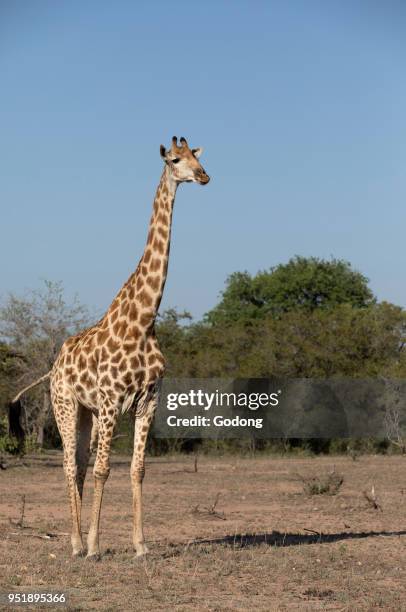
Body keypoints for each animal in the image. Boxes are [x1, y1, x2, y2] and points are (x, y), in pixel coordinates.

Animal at [12, 135, 209, 560]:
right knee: (70, 464)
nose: (203, 176)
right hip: (66, 405)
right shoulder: (111, 401)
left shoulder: (147, 401)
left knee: (80, 464)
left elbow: (137, 469)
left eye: (197, 157)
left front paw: (140, 545)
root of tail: (55, 364)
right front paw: (95, 546)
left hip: (86, 413)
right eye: (174, 160)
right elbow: (105, 470)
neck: (144, 320)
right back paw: (75, 543)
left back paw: (77, 539)